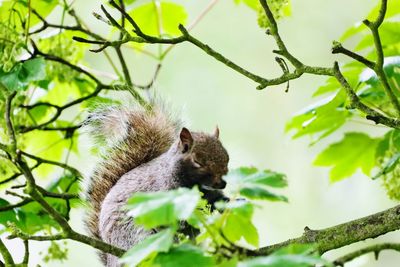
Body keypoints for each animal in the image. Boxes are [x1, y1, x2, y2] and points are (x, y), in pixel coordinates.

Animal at [83, 105, 228, 267]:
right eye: (197, 162)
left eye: (227, 158)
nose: (222, 183)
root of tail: (112, 260)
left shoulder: (210, 195)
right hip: (136, 236)